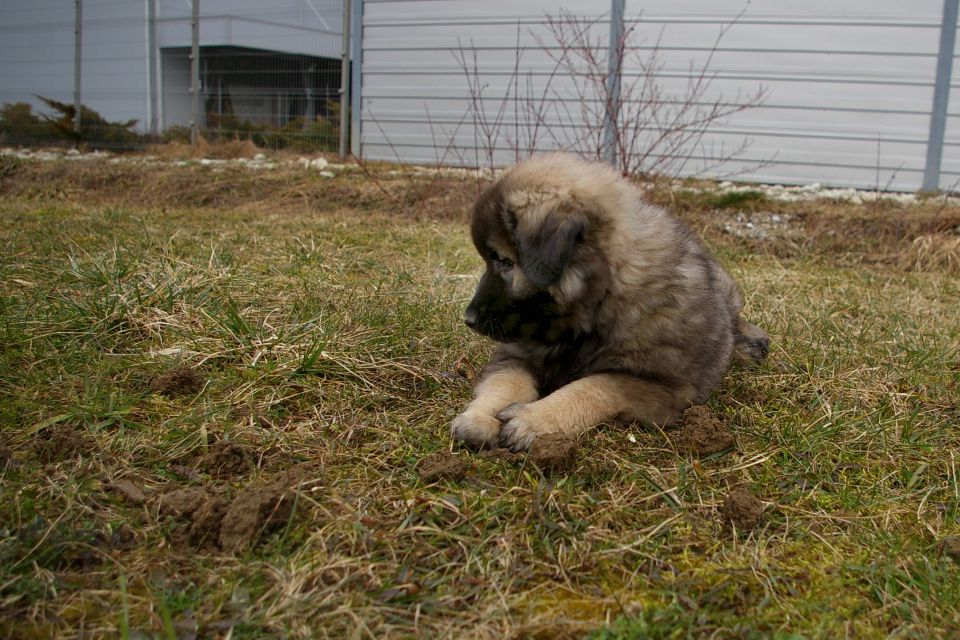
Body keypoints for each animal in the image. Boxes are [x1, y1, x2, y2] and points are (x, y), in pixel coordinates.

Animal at [452, 156, 772, 452]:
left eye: (505, 262)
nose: (468, 319)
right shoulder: (516, 353)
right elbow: (506, 382)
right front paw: (480, 417)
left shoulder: (663, 388)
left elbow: (595, 385)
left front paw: (533, 419)